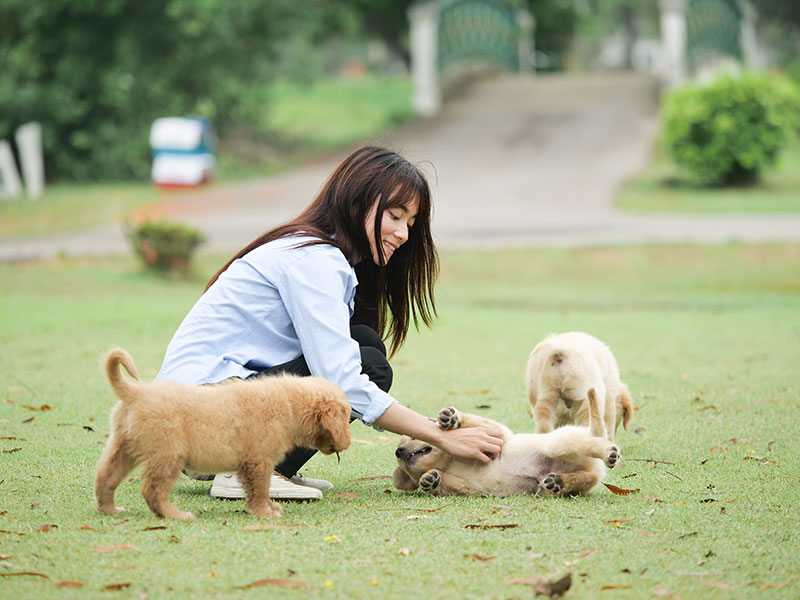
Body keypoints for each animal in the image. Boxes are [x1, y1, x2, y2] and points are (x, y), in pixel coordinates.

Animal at [94, 346, 350, 520]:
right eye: (346, 416)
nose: (347, 443)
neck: (288, 403)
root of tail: (136, 393)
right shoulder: (259, 461)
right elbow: (260, 490)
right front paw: (265, 513)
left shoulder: (250, 463)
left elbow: (255, 492)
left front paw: (267, 509)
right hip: (168, 455)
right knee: (152, 490)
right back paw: (175, 515)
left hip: (123, 448)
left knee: (105, 477)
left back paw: (109, 509)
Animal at [394, 390, 620, 496]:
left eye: (412, 437)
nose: (399, 451)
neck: (450, 461)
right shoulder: (468, 487)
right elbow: (448, 482)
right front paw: (430, 479)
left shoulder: (499, 435)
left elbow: (475, 423)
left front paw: (453, 419)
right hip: (573, 476)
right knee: (587, 478)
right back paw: (558, 482)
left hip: (557, 443)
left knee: (590, 447)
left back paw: (608, 452)